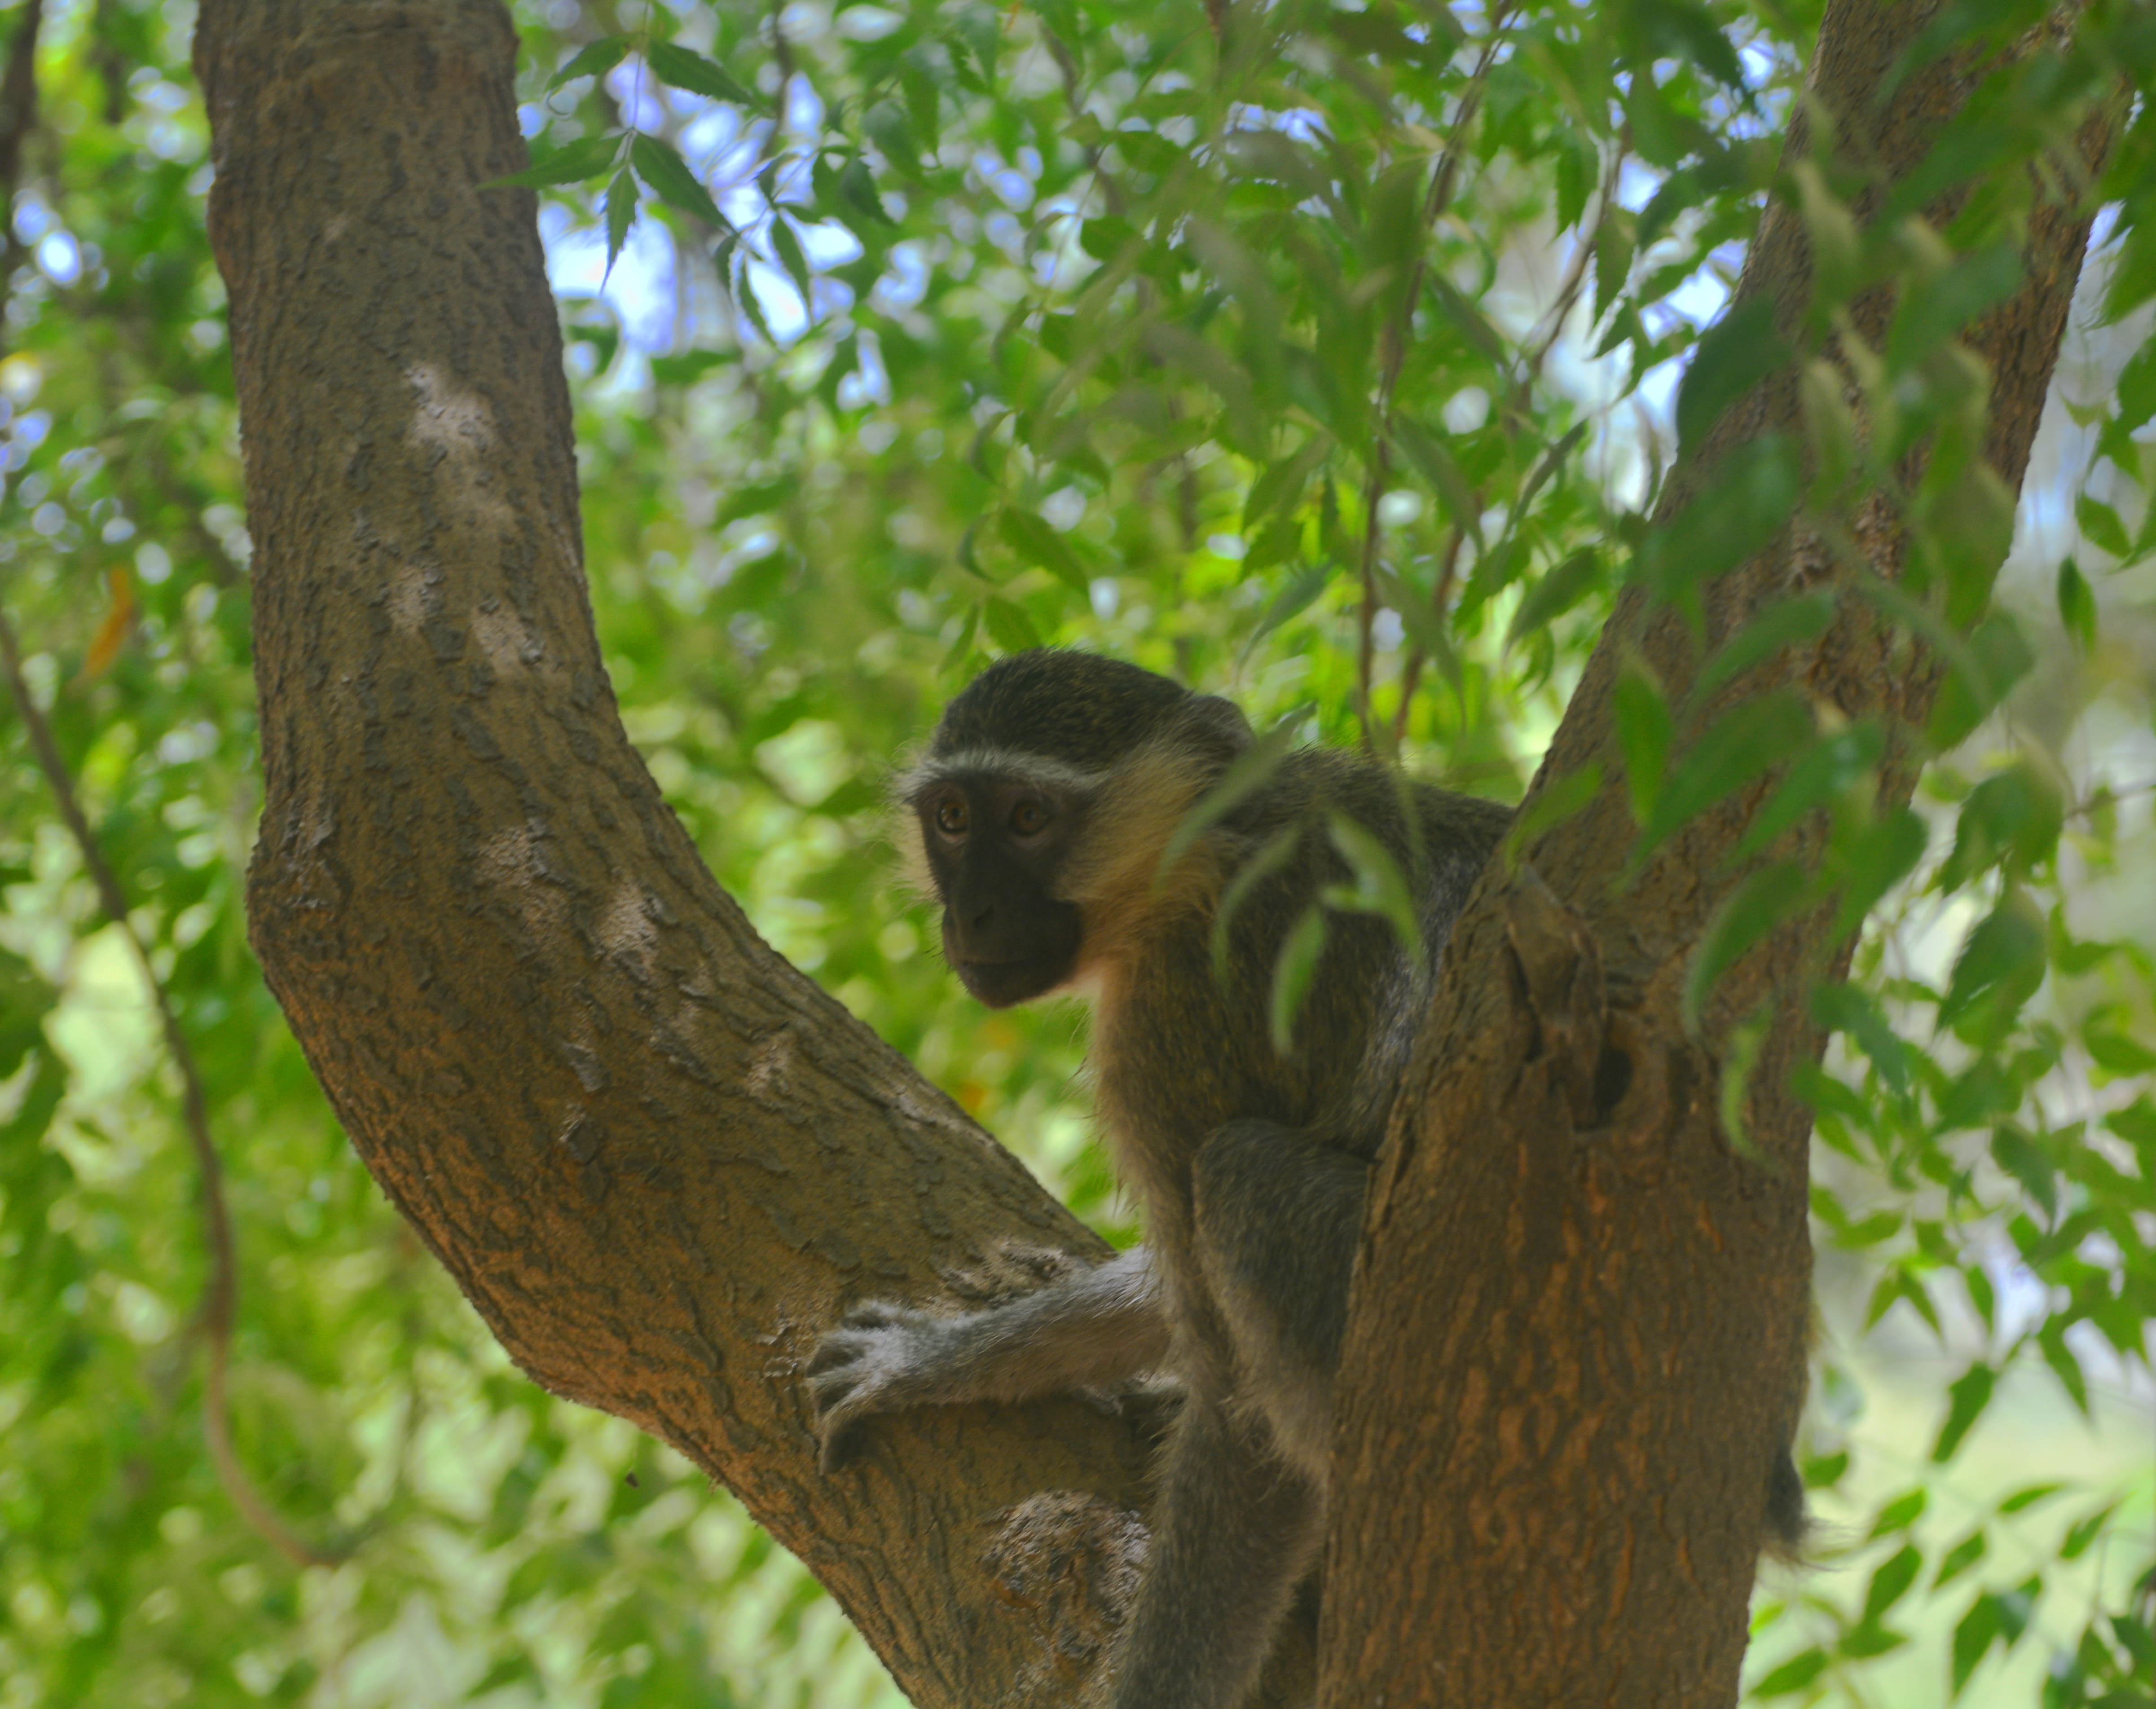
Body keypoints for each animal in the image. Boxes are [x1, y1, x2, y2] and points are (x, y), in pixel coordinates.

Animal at [807, 648, 1804, 1708]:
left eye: (1029, 818)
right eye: (953, 818)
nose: (971, 912)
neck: (1201, 850)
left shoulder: (1174, 1018)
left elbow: (1235, 1416)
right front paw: (935, 1360)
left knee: (1241, 1175)